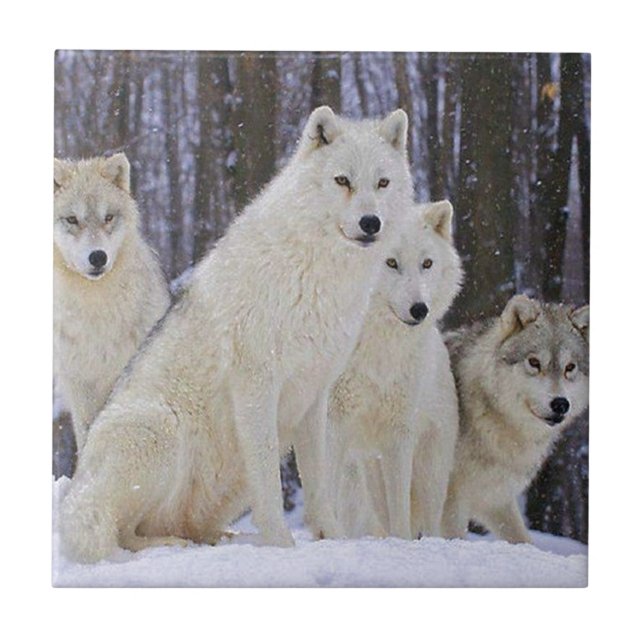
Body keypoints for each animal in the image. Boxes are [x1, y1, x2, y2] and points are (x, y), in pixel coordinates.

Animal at [330, 200, 462, 539]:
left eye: (427, 263)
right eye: (390, 262)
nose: (420, 309)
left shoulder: (399, 433)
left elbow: (400, 514)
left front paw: (400, 544)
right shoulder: (331, 423)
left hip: (429, 474)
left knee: (426, 521)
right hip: (361, 475)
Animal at [441, 295, 590, 544]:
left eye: (570, 367)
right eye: (534, 362)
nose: (560, 404)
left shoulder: (495, 498)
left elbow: (523, 539)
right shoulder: (450, 497)